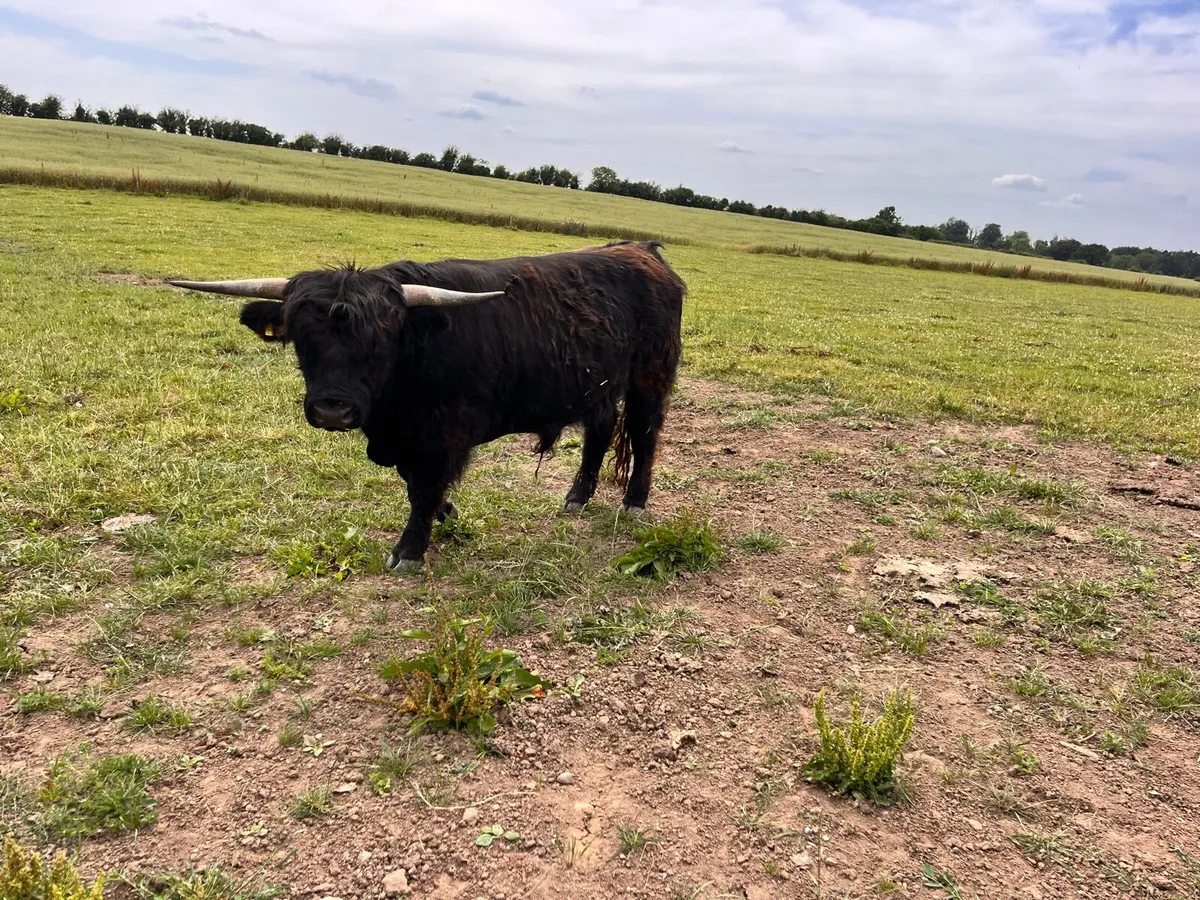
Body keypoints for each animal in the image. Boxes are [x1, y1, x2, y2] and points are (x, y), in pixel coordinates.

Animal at [167, 240, 686, 572]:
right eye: (302, 339)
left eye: (382, 341)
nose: (333, 410)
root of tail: (642, 250)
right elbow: (413, 482)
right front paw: (447, 514)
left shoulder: (443, 434)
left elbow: (422, 488)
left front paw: (410, 549)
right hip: (599, 384)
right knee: (600, 432)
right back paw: (577, 496)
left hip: (650, 376)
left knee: (644, 434)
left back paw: (634, 502)